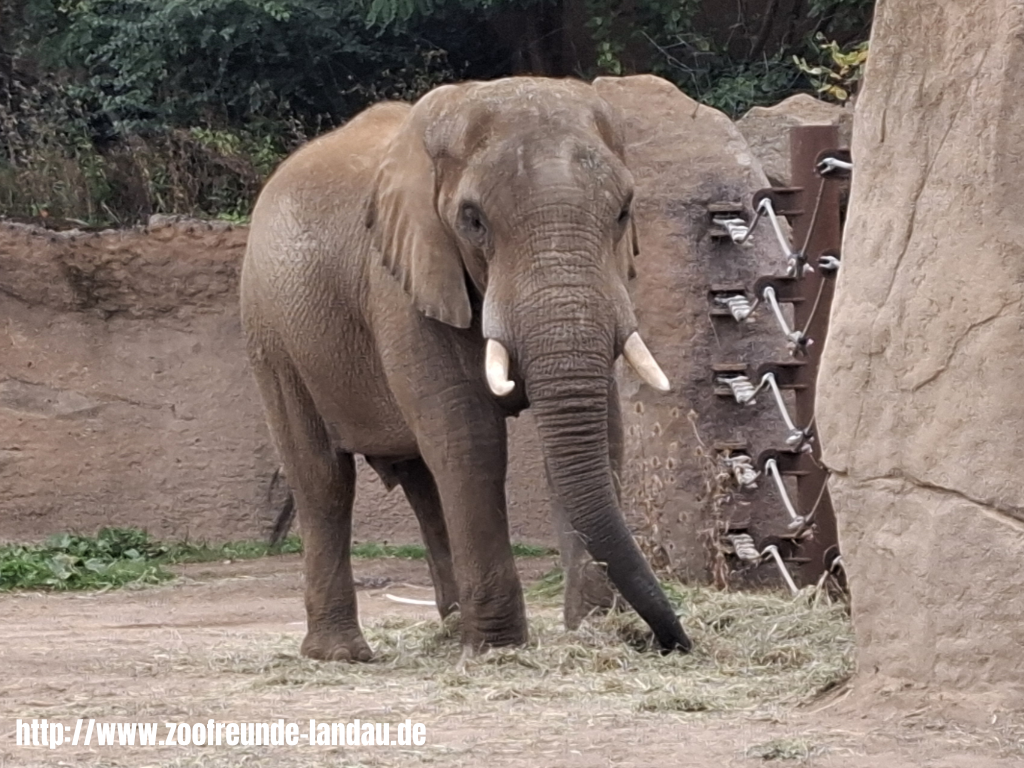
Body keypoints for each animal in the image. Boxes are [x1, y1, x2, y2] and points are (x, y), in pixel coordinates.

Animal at [238, 76, 688, 663]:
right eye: (472, 221)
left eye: (623, 211)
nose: (674, 641)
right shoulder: (401, 283)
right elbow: (471, 437)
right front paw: (498, 651)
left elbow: (602, 431)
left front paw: (594, 632)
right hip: (271, 335)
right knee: (324, 480)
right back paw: (341, 655)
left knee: (423, 480)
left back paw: (450, 630)